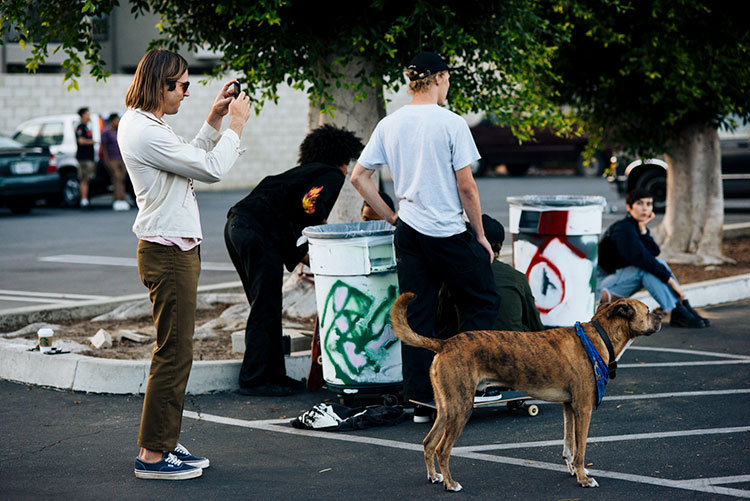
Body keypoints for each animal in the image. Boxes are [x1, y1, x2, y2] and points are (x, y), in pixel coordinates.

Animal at [394, 292, 664, 490]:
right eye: (647, 310)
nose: (661, 317)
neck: (599, 338)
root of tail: (445, 343)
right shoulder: (583, 409)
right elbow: (581, 449)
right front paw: (583, 478)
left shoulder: (569, 407)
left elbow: (569, 445)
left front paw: (575, 471)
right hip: (460, 409)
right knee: (442, 449)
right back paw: (450, 484)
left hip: (446, 409)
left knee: (429, 443)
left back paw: (434, 476)